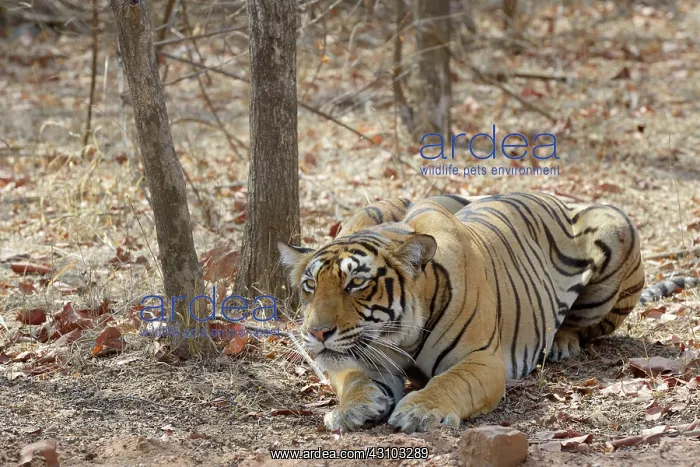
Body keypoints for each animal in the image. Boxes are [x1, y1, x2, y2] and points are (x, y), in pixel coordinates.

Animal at [278, 192, 647, 433]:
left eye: (356, 283)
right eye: (310, 285)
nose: (316, 333)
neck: (400, 338)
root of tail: (561, 199)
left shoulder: (482, 359)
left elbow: (450, 382)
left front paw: (418, 411)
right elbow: (351, 377)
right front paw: (352, 409)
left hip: (616, 230)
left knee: (583, 324)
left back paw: (561, 343)